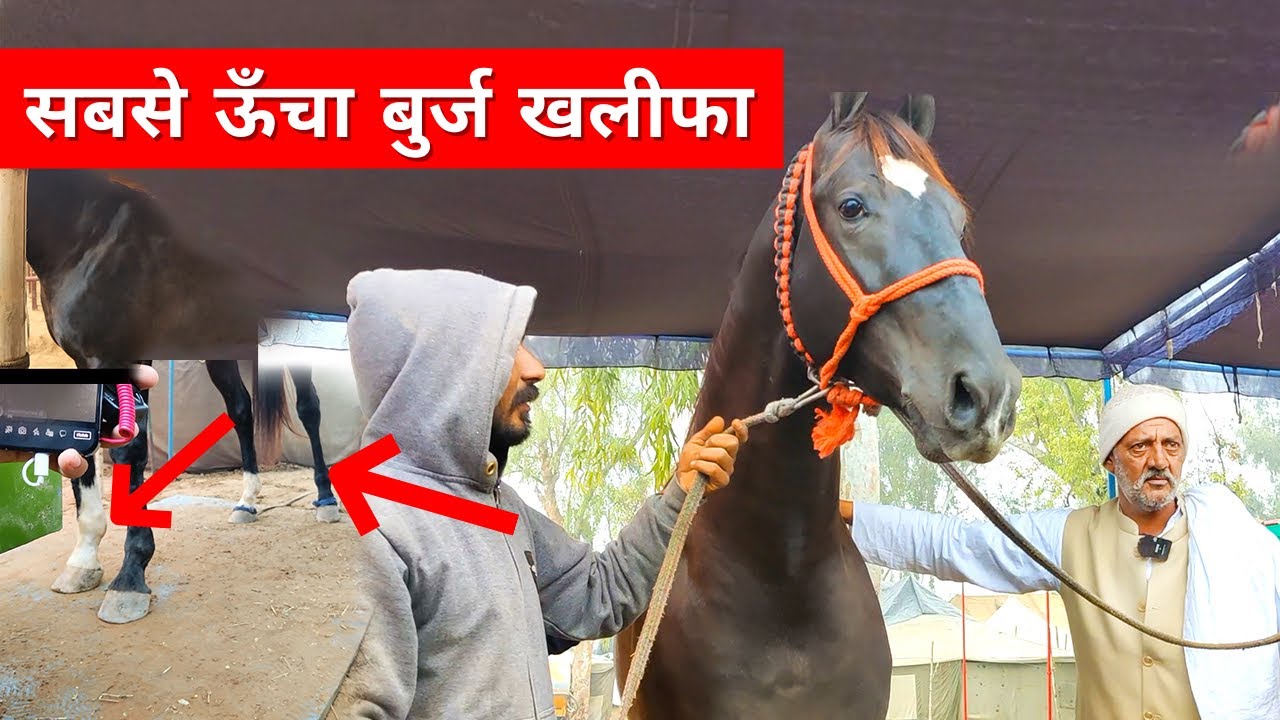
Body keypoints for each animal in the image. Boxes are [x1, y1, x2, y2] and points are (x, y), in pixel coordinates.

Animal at [22, 170, 337, 624]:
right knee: (241, 410)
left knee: (309, 409)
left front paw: (129, 579)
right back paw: (246, 502)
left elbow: (129, 451)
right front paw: (83, 561)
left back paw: (326, 499)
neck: (87, 237)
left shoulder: (122, 358)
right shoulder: (87, 362)